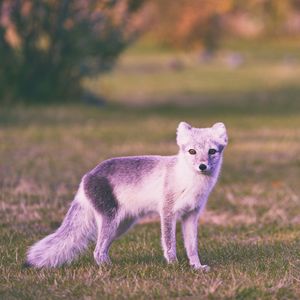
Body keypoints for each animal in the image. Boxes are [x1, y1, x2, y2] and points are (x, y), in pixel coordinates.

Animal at [25, 120, 227, 270]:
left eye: (212, 151)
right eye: (192, 151)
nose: (202, 166)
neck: (190, 182)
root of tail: (86, 176)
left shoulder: (191, 215)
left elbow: (192, 247)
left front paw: (197, 267)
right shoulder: (167, 212)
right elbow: (169, 243)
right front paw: (174, 265)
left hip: (122, 225)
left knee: (100, 248)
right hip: (111, 220)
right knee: (97, 250)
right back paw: (108, 268)